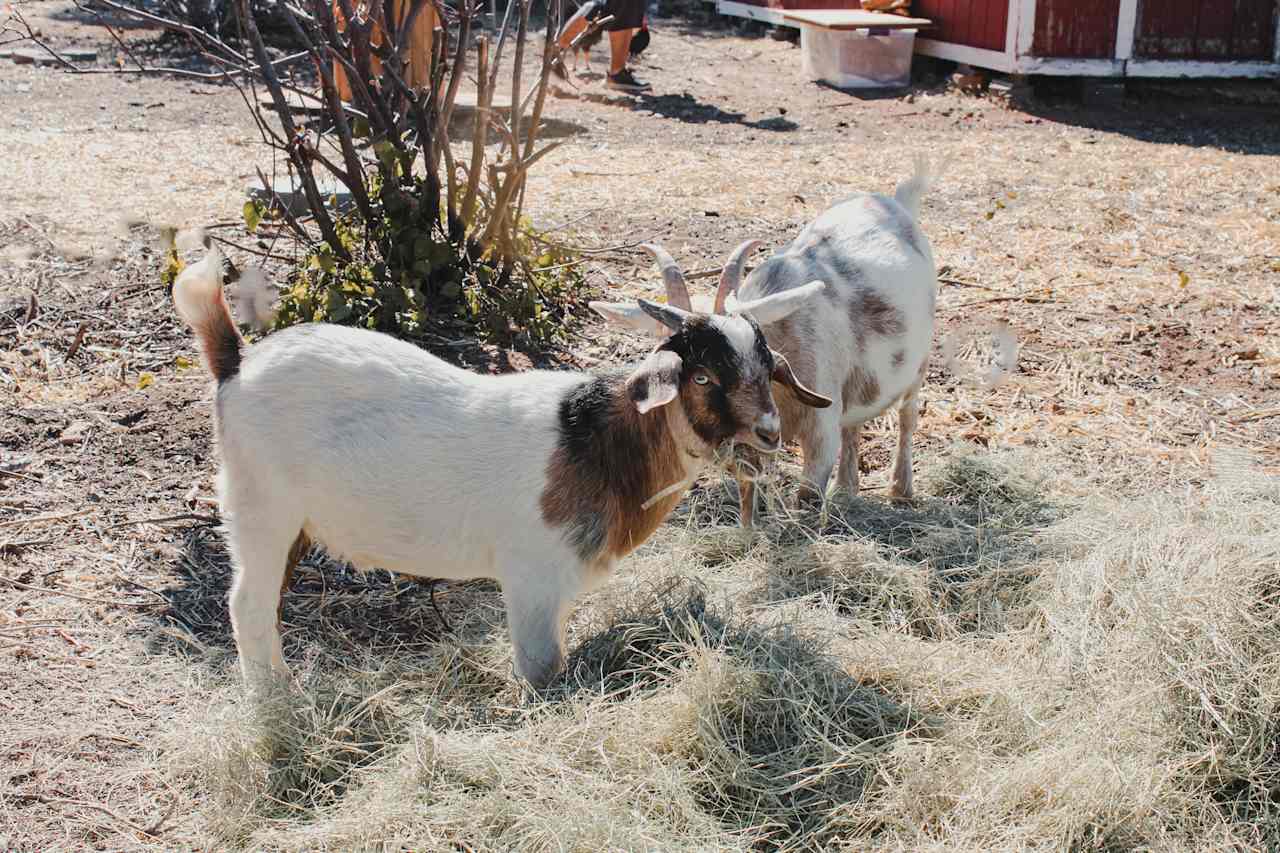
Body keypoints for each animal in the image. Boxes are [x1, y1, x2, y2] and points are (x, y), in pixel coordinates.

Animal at [172, 245, 829, 686]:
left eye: (765, 365)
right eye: (702, 377)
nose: (769, 433)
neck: (597, 440)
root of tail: (236, 363)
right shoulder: (532, 580)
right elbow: (542, 672)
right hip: (259, 512)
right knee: (247, 605)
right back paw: (277, 700)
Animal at [591, 156, 942, 522]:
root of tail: (898, 202)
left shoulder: (820, 427)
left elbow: (807, 496)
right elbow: (752, 488)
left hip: (918, 363)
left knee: (907, 417)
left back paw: (901, 491)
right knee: (854, 424)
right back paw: (846, 491)